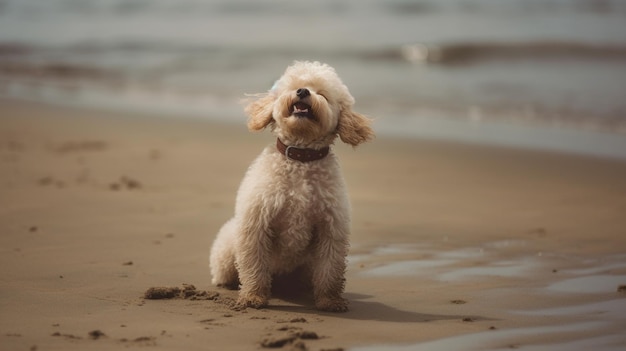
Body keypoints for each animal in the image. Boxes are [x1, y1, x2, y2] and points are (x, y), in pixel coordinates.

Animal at [210, 61, 372, 314]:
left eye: (323, 94)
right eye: (294, 85)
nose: (303, 91)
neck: (300, 158)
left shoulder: (330, 229)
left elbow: (330, 271)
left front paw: (330, 301)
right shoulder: (256, 224)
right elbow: (254, 267)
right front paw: (253, 297)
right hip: (227, 250)